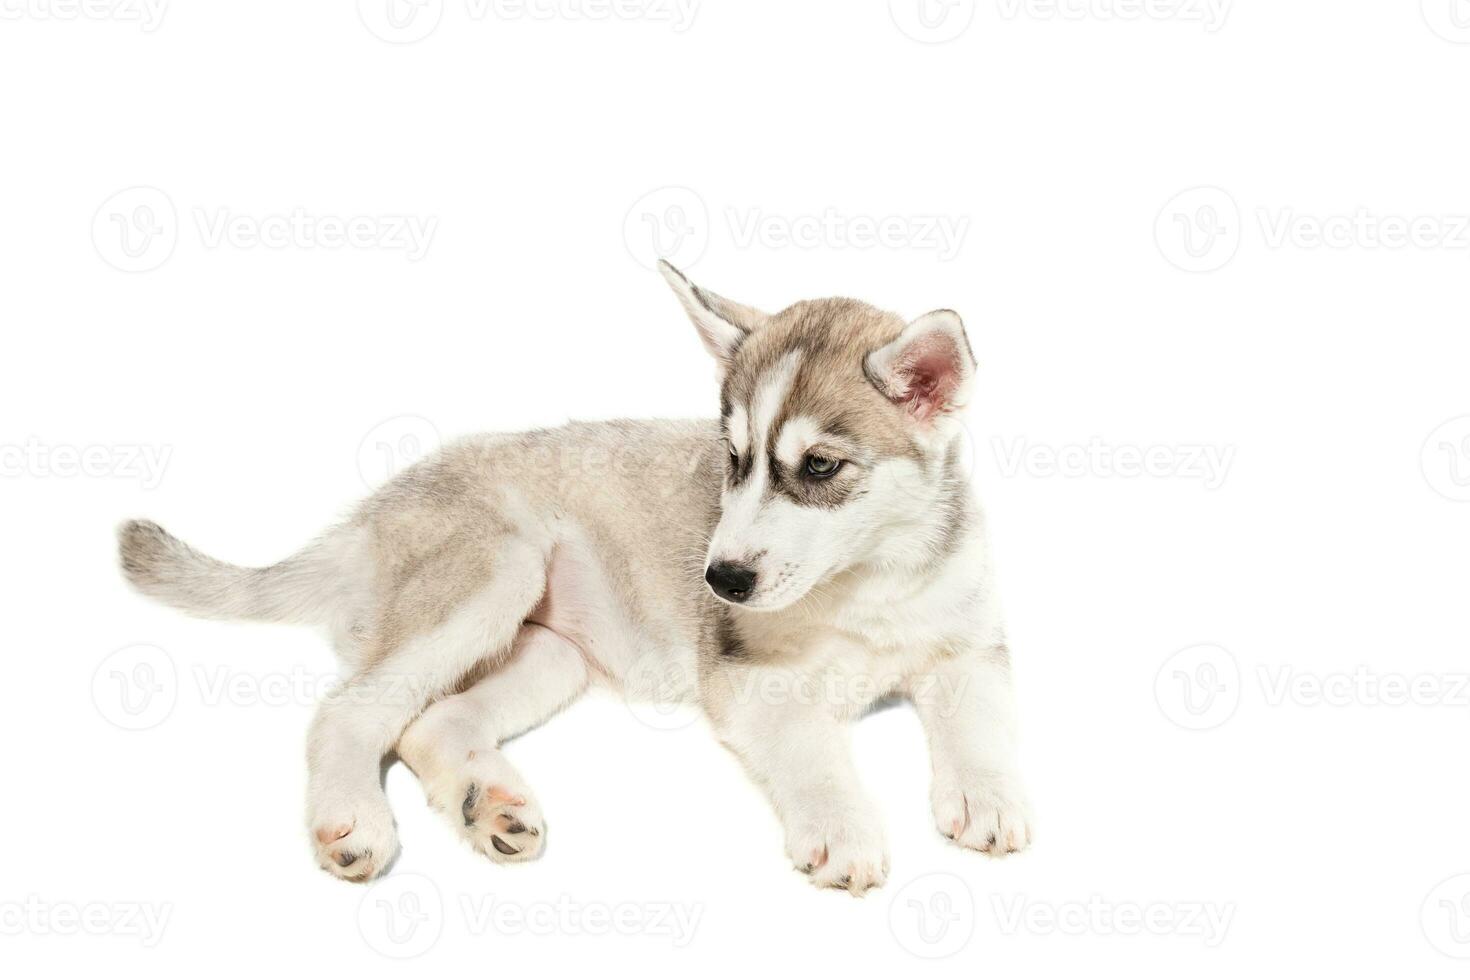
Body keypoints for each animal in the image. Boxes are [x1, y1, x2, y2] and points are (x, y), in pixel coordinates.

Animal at [117, 262, 1034, 899]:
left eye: (819, 466)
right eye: (732, 461)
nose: (720, 581)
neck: (872, 580)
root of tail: (362, 520)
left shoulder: (972, 647)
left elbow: (980, 722)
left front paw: (988, 795)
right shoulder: (749, 680)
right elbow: (814, 751)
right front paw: (843, 827)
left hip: (551, 656)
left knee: (428, 724)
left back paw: (489, 805)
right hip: (498, 569)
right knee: (348, 711)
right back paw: (354, 822)